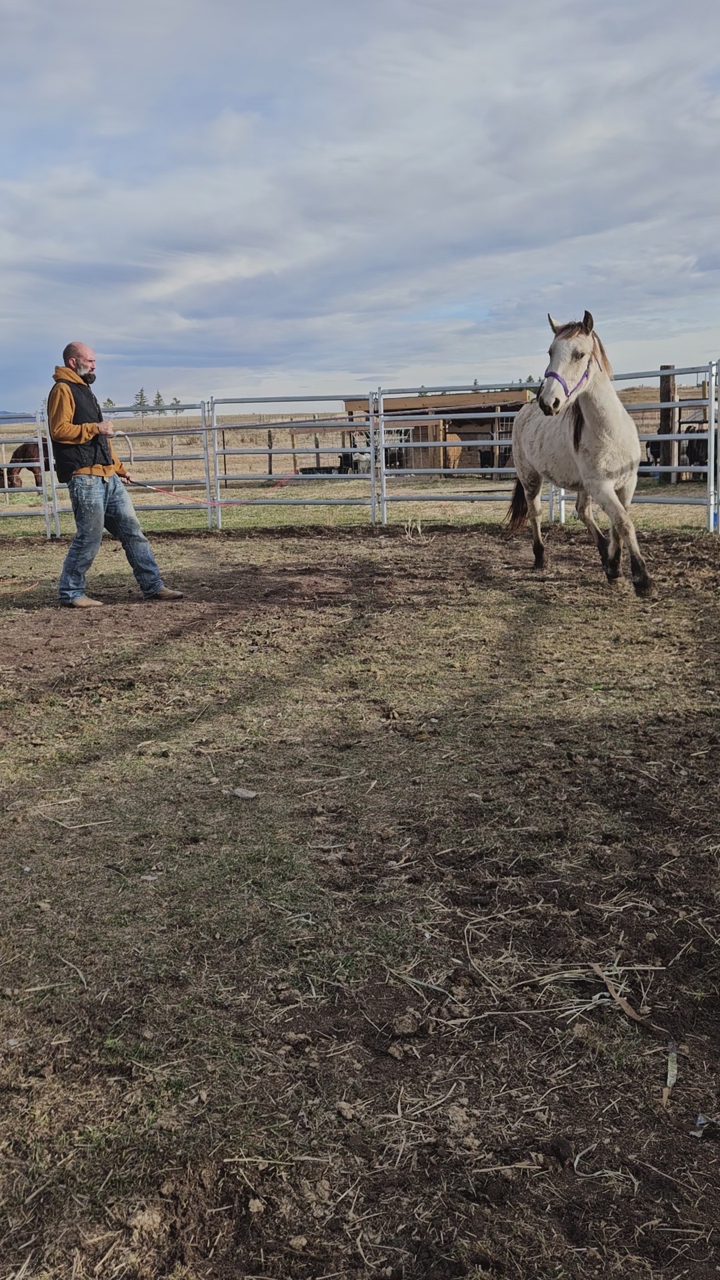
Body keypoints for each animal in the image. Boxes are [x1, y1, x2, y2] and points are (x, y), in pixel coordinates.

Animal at [507, 311, 652, 597]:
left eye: (580, 354)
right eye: (551, 351)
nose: (548, 402)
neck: (610, 431)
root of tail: (525, 409)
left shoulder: (626, 485)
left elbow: (618, 524)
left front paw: (614, 568)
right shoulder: (601, 486)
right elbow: (624, 523)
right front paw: (642, 579)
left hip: (583, 486)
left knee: (583, 511)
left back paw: (605, 556)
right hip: (531, 479)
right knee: (535, 513)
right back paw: (541, 558)